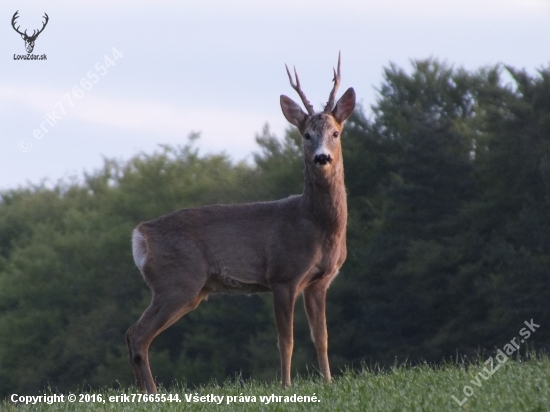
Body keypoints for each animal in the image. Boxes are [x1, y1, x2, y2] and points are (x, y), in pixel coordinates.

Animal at [126, 53, 358, 392]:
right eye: (306, 135)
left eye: (336, 133)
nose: (322, 158)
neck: (316, 226)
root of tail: (140, 234)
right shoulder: (284, 276)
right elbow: (286, 340)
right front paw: (285, 386)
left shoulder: (319, 281)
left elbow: (322, 337)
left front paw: (328, 382)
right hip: (177, 281)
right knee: (137, 334)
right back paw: (152, 393)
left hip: (188, 289)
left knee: (136, 335)